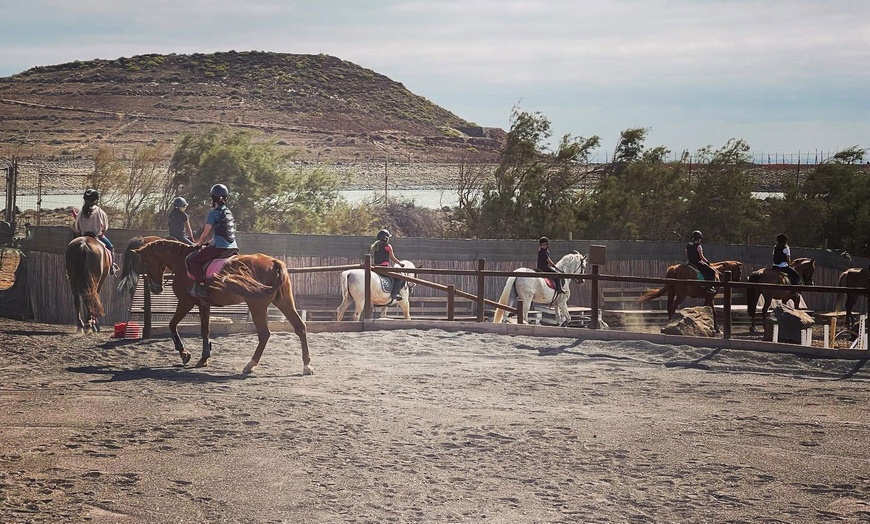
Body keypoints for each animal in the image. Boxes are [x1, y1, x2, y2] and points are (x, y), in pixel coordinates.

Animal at [133, 239, 314, 374]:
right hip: (284, 302)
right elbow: (205, 330)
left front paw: (184, 353)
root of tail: (274, 262)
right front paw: (203, 359)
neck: (182, 262)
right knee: (300, 327)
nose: (156, 288)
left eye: (146, 263)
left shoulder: (186, 302)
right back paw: (307, 366)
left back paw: (250, 365)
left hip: (257, 305)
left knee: (264, 334)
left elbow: (172, 324)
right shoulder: (203, 305)